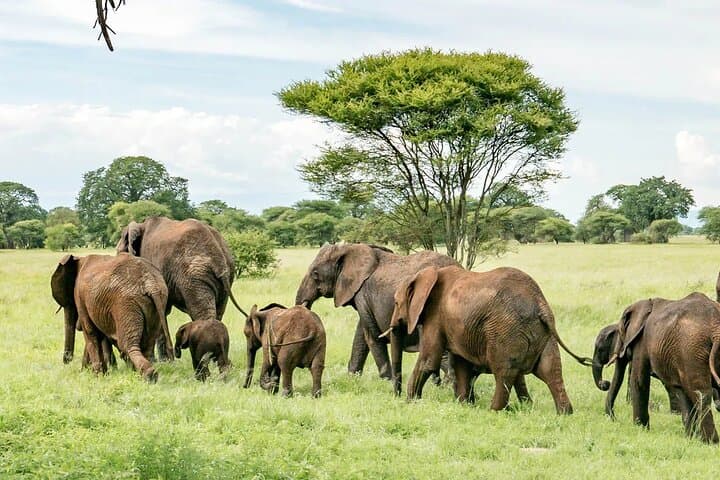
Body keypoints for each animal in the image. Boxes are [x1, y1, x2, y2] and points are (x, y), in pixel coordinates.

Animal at [50, 253, 173, 381]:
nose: (67, 361)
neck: (80, 259)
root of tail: (151, 284)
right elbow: (100, 335)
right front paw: (102, 374)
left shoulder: (80, 297)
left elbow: (90, 332)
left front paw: (97, 376)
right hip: (156, 305)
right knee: (148, 344)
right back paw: (143, 374)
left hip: (125, 304)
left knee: (128, 345)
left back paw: (149, 375)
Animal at [117, 216, 247, 360]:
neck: (141, 225)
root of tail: (219, 258)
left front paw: (164, 361)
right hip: (226, 276)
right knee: (218, 313)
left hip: (194, 277)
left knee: (203, 314)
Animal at [295, 243, 458, 386]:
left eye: (315, 274)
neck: (349, 247)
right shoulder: (364, 297)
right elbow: (361, 335)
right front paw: (352, 380)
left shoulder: (362, 293)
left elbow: (372, 336)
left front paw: (388, 382)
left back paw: (447, 386)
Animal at [389, 265, 591, 413]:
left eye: (397, 303)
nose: (396, 396)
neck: (426, 275)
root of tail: (540, 303)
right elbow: (461, 364)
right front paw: (464, 405)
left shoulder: (435, 315)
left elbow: (429, 360)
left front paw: (410, 402)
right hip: (541, 333)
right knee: (551, 370)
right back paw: (564, 413)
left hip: (505, 331)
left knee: (503, 371)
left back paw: (495, 411)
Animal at [601, 293, 720, 443]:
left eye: (622, 331)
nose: (614, 419)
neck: (646, 303)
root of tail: (715, 328)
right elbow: (681, 390)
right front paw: (689, 438)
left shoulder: (642, 342)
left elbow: (639, 381)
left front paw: (640, 430)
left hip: (692, 349)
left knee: (701, 393)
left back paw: (710, 442)